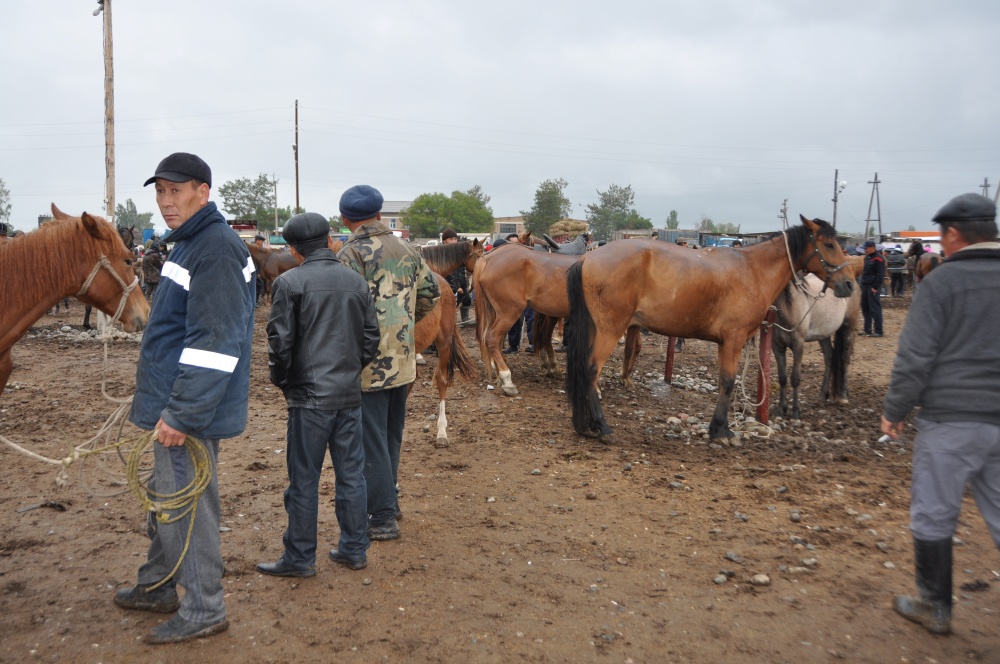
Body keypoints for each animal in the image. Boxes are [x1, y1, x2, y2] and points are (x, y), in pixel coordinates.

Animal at [772, 272, 860, 418]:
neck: (788, 306)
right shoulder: (777, 347)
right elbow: (782, 378)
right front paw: (780, 410)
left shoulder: (798, 345)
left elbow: (795, 378)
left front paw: (795, 413)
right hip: (823, 335)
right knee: (829, 357)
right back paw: (822, 397)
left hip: (848, 329)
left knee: (845, 359)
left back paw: (843, 396)